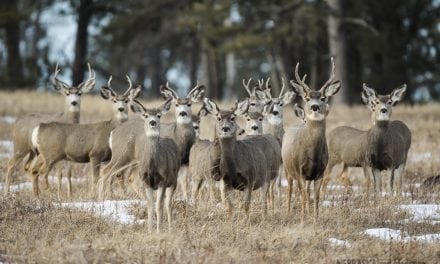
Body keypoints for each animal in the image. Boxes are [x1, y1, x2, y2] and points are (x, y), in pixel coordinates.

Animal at [4, 63, 95, 193]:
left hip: (33, 151)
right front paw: (59, 193)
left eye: (79, 93)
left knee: (28, 166)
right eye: (67, 93)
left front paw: (69, 194)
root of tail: (16, 123)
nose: (74, 102)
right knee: (11, 164)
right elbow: (59, 174)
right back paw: (7, 193)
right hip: (20, 146)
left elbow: (69, 173)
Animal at [284, 57, 342, 223]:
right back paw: (288, 213)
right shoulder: (300, 171)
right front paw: (303, 219)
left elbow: (316, 197)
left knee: (306, 192)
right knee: (290, 190)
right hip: (287, 169)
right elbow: (304, 196)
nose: (315, 106)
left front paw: (315, 218)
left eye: (323, 98)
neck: (313, 153)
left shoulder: (320, 171)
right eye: (307, 98)